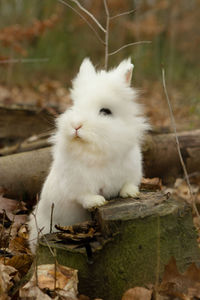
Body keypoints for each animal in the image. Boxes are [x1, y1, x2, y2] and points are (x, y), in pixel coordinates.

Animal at [28, 57, 149, 252]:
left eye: (105, 111)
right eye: (75, 106)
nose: (76, 125)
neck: (98, 150)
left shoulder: (132, 170)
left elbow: (128, 184)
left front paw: (130, 193)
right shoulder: (78, 185)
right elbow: (85, 196)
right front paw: (98, 202)